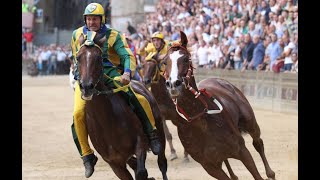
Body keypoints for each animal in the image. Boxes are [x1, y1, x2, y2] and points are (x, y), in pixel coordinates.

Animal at [161, 30, 276, 179]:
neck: (200, 121)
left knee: (258, 142)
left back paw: (271, 173)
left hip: (250, 122)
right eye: (164, 62)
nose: (173, 84)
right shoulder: (209, 166)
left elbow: (256, 173)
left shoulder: (241, 150)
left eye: (185, 59)